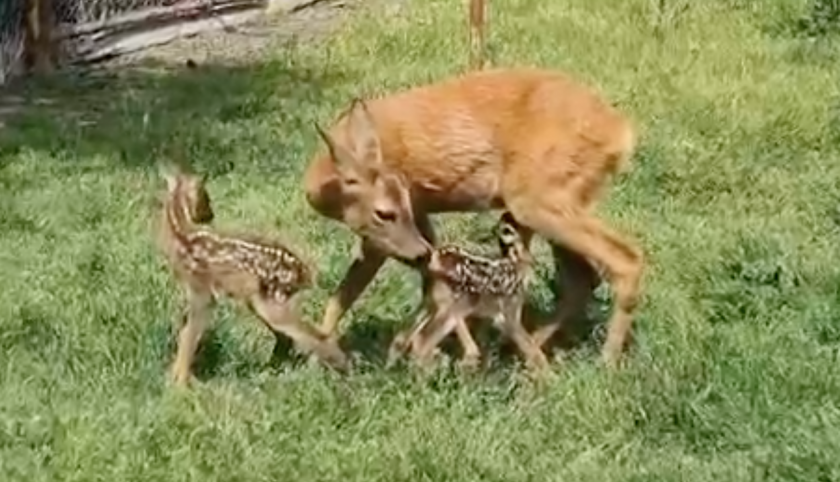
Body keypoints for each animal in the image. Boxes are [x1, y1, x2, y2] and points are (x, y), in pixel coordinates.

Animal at [156, 163, 350, 388]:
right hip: (262, 300)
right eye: (207, 197)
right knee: (289, 337)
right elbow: (185, 332)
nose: (210, 215)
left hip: (272, 300)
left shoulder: (202, 290)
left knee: (311, 334)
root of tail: (304, 273)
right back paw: (271, 371)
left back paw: (342, 368)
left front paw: (181, 383)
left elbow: (189, 334)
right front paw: (174, 377)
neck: (181, 237)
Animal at [388, 211, 544, 372]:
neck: (515, 262)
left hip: (433, 303)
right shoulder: (509, 310)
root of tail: (433, 263)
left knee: (403, 336)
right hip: (455, 306)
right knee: (422, 343)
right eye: (513, 226)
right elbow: (529, 344)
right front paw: (544, 372)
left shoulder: (491, 314)